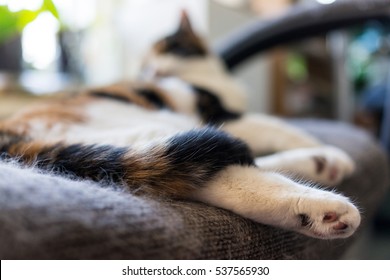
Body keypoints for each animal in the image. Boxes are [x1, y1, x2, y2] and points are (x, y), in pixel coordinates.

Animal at [0, 10, 360, 238]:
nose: (154, 71)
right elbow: (277, 127)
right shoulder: (218, 112)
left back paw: (321, 167)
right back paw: (323, 208)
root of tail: (10, 136)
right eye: (147, 65)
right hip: (153, 125)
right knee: (224, 173)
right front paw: (309, 139)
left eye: (167, 49)